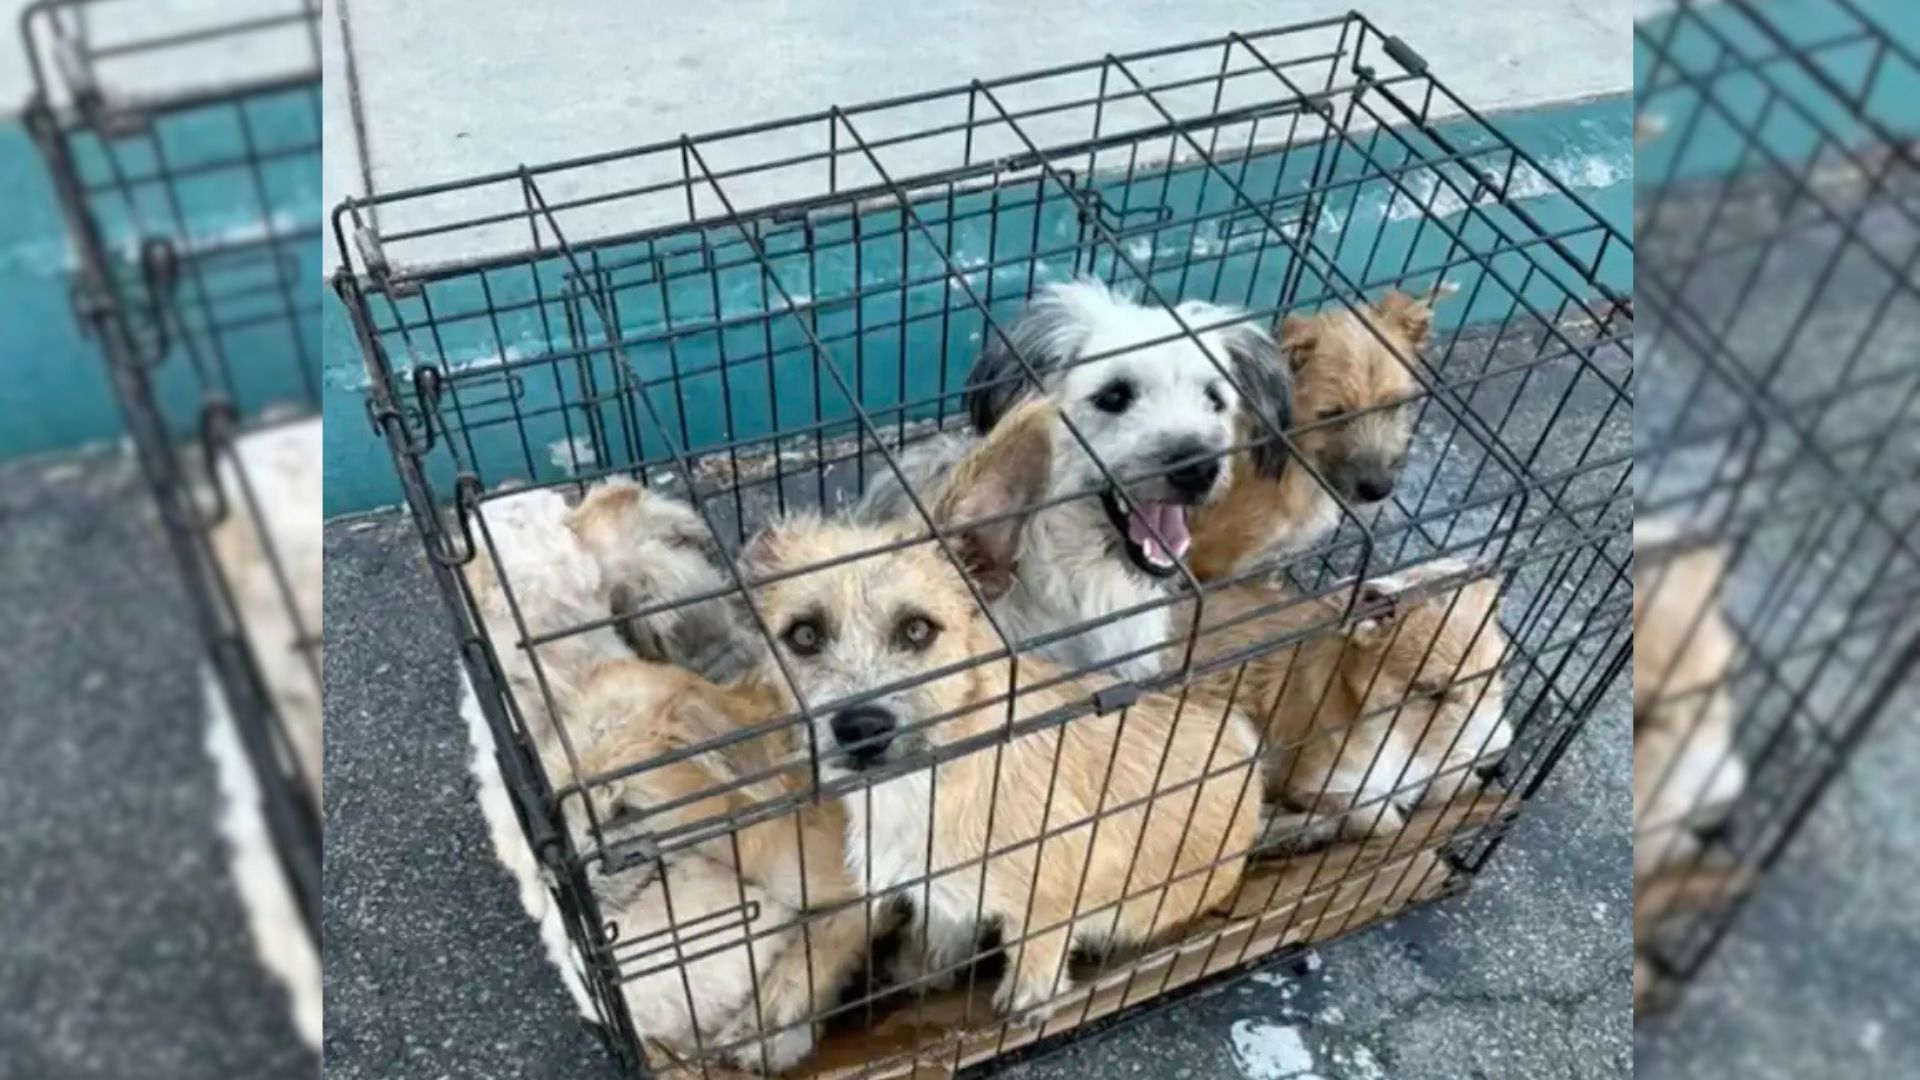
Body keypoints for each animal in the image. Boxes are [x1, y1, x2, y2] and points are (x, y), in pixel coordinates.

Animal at [733, 399, 1259, 1022]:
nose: (861, 728)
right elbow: (939, 941)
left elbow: (1035, 957)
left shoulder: (1062, 882)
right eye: (804, 635)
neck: (930, 782)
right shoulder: (943, 898)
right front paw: (919, 973)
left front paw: (1024, 1001)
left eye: (918, 630)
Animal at [1182, 553, 1512, 849]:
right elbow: (1379, 817)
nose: (1499, 752)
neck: (1397, 738)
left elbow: (1448, 781)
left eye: (1498, 671)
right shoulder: (1302, 782)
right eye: (1431, 691)